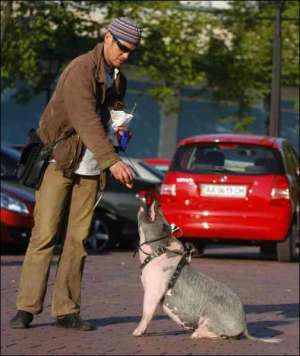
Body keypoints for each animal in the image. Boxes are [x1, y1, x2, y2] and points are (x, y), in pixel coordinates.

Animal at [132, 200, 280, 342]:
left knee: (216, 333)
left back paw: (195, 334)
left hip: (211, 314)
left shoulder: (154, 290)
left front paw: (135, 333)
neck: (157, 253)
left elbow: (146, 312)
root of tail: (244, 325)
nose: (157, 201)